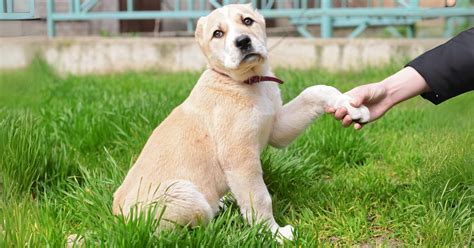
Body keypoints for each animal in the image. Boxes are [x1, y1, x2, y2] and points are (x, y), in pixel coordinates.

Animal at [112, 2, 370, 241]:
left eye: (247, 21)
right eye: (218, 33)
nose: (243, 41)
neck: (248, 82)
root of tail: (117, 217)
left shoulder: (276, 127)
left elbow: (314, 91)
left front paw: (350, 104)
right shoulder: (239, 157)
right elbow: (259, 198)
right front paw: (274, 233)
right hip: (181, 193)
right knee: (192, 230)